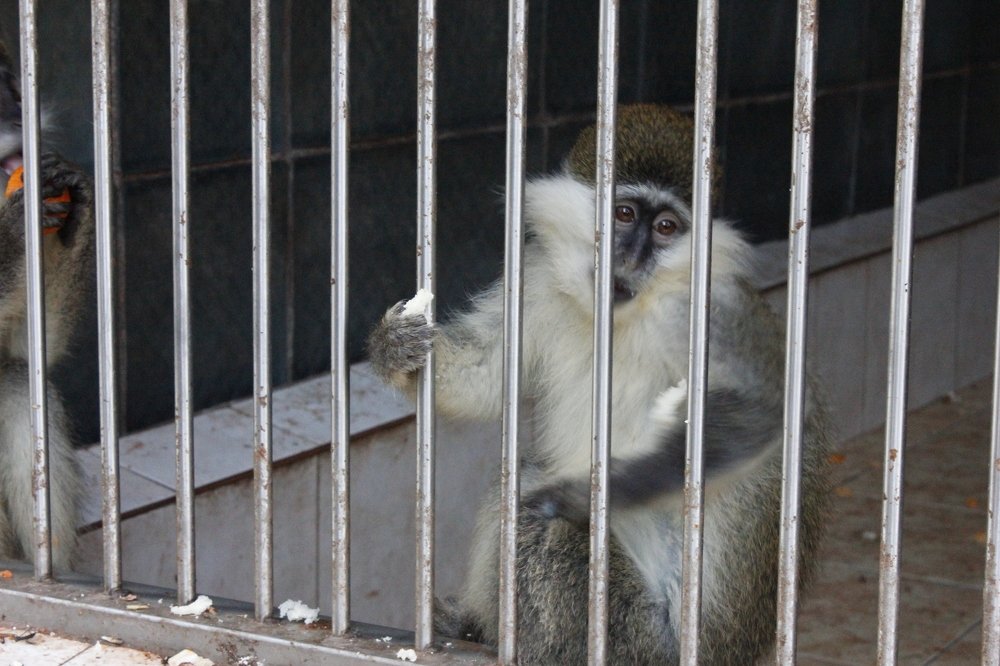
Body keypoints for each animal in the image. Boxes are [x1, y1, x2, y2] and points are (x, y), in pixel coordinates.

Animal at [367, 104, 830, 664]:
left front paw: (594, 494)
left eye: (668, 228)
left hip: (636, 637)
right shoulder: (537, 280)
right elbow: (488, 375)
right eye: (625, 214)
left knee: (539, 521)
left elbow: (764, 407)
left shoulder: (703, 309)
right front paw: (395, 348)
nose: (630, 257)